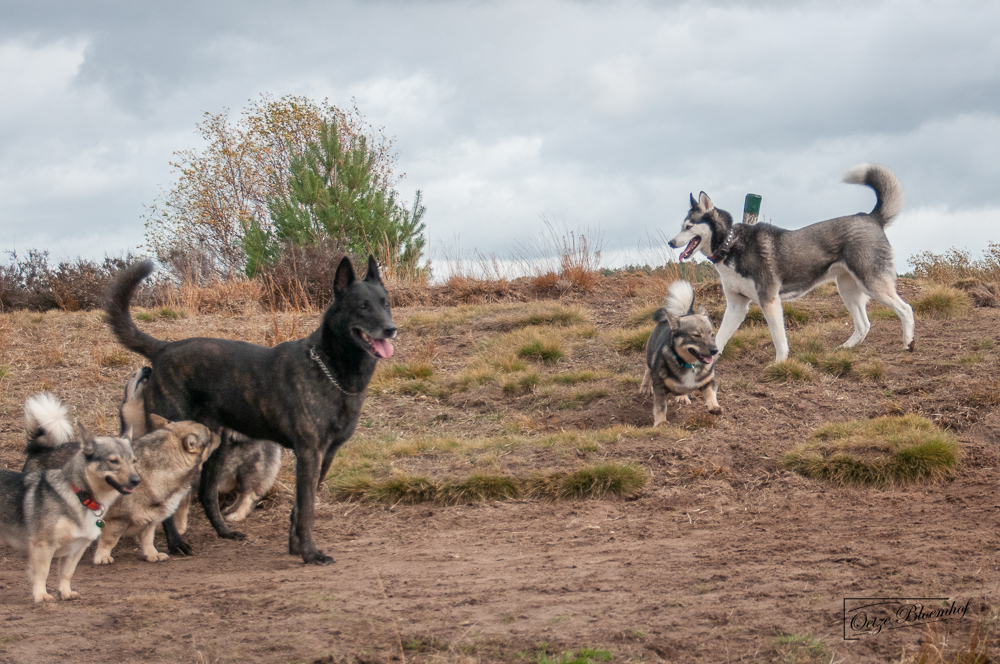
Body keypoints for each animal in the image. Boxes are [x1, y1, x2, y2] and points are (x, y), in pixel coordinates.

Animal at [0, 393, 140, 602]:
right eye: (113, 461)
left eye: (133, 461)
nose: (137, 480)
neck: (78, 495)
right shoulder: (43, 546)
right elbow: (42, 573)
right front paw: (41, 595)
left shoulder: (76, 549)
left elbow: (66, 573)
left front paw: (65, 593)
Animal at [105, 255, 395, 565]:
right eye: (362, 306)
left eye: (386, 303)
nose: (391, 329)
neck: (330, 368)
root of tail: (163, 349)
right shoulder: (309, 453)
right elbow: (306, 509)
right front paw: (310, 553)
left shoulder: (325, 455)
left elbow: (299, 508)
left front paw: (295, 547)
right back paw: (175, 543)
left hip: (216, 447)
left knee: (207, 494)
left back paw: (224, 532)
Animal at [640, 281, 721, 426]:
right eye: (696, 335)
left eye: (712, 335)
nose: (714, 351)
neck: (689, 364)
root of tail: (684, 313)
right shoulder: (660, 386)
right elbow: (660, 406)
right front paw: (661, 422)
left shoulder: (709, 381)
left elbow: (711, 393)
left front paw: (714, 406)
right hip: (650, 356)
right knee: (648, 370)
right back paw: (645, 387)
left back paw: (683, 396)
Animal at [668, 163, 915, 362]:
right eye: (681, 227)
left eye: (688, 227)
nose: (671, 242)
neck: (731, 244)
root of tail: (871, 217)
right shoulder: (737, 306)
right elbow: (719, 339)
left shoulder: (770, 302)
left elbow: (779, 339)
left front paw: (780, 363)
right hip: (848, 290)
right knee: (864, 325)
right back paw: (846, 348)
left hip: (872, 283)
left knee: (906, 309)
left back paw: (908, 342)